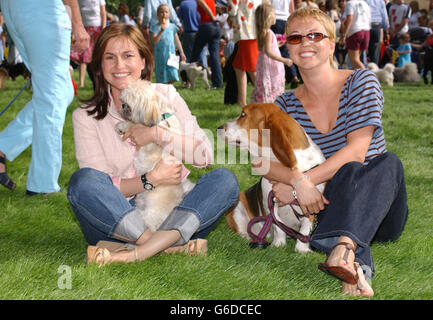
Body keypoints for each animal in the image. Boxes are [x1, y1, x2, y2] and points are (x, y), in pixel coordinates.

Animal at [115, 79, 195, 231]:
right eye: (122, 101)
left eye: (128, 104)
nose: (122, 105)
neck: (161, 116)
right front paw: (122, 125)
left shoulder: (150, 140)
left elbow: (135, 126)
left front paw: (123, 126)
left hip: (151, 214)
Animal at [218, 102, 326, 252]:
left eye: (243, 114)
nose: (218, 128)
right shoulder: (271, 202)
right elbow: (277, 226)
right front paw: (278, 244)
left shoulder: (311, 206)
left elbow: (305, 229)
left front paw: (302, 249)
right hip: (237, 205)